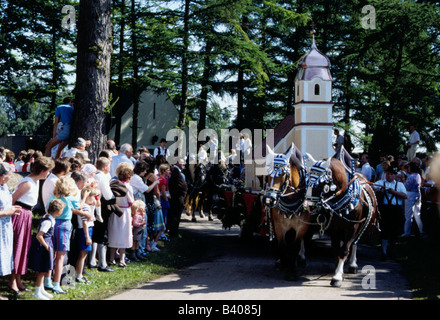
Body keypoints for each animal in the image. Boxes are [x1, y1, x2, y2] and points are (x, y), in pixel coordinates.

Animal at [262, 142, 312, 280]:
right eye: (267, 173)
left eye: (283, 174)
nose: (269, 199)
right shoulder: (279, 225)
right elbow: (282, 245)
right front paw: (284, 263)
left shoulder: (301, 226)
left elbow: (295, 245)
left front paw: (292, 271)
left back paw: (301, 258)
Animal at [302, 148, 378, 288]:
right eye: (308, 180)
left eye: (320, 182)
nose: (308, 205)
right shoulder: (334, 228)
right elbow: (336, 250)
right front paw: (339, 271)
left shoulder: (352, 226)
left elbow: (344, 250)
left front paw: (337, 277)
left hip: (360, 226)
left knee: (354, 243)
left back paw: (353, 264)